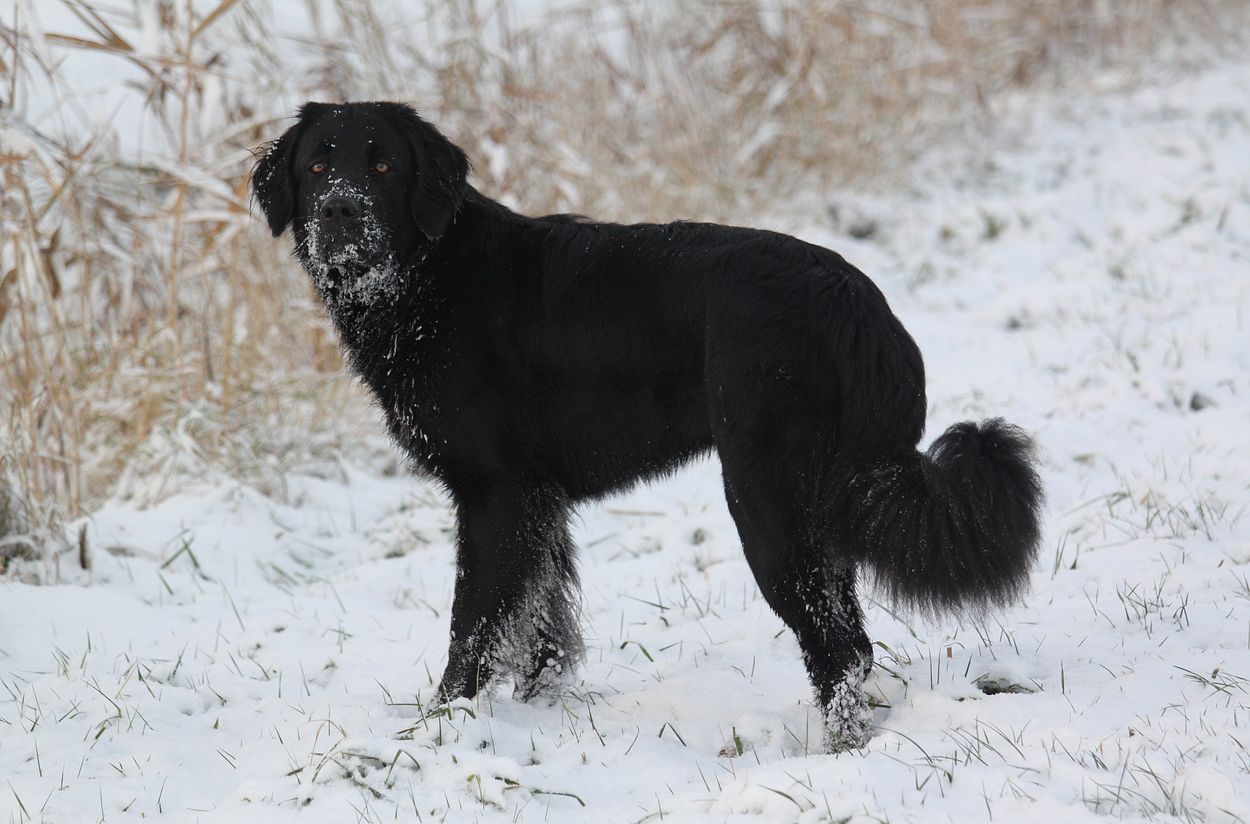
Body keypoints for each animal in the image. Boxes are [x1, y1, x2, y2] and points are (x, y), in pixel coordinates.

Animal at [252, 102, 1043, 752]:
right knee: (849, 638)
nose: (339, 212)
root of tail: (857, 303)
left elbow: (473, 627)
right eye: (317, 164)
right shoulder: (537, 502)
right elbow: (542, 624)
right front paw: (535, 713)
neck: (428, 275)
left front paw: (440, 729)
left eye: (383, 165)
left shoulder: (493, 496)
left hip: (767, 500)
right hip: (819, 508)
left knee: (839, 648)